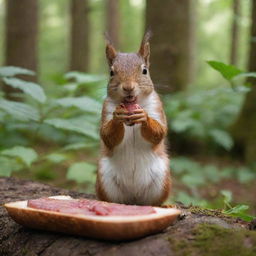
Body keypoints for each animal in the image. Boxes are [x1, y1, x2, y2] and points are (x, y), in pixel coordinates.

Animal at [95, 31, 171, 206]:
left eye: (145, 70)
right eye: (111, 72)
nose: (128, 87)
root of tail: (133, 197)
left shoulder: (156, 107)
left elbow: (160, 131)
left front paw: (144, 117)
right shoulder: (106, 109)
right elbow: (106, 135)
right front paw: (117, 117)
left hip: (162, 180)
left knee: (154, 202)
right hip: (105, 179)